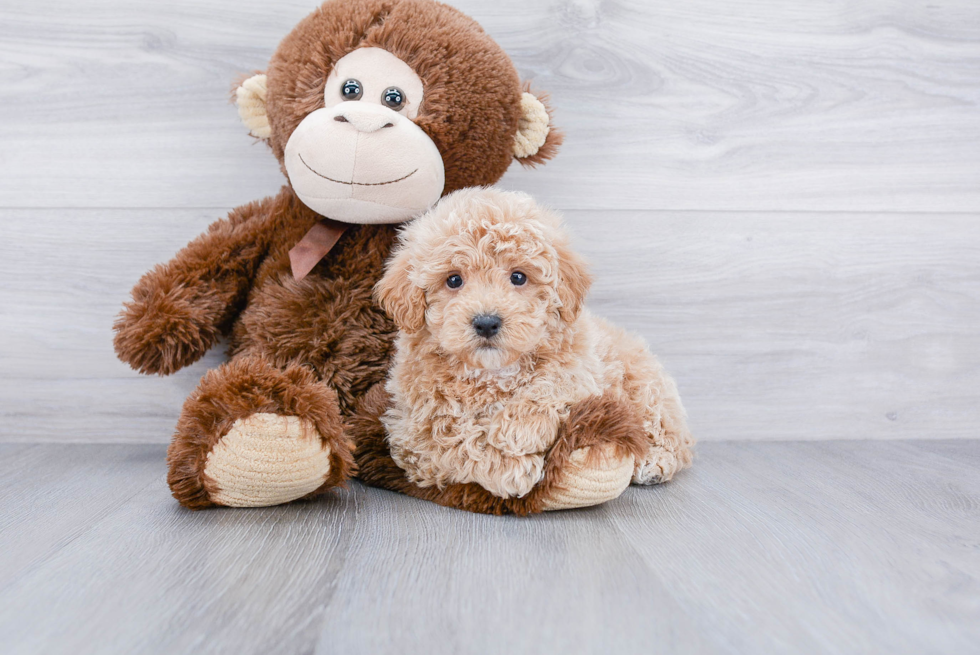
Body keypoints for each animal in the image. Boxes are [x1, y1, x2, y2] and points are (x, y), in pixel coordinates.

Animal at [374, 187, 688, 504]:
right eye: (453, 280)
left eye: (518, 277)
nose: (486, 322)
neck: (493, 373)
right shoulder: (412, 431)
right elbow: (453, 439)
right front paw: (508, 468)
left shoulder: (582, 369)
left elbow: (553, 382)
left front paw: (517, 431)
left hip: (644, 388)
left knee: (674, 437)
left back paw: (655, 462)